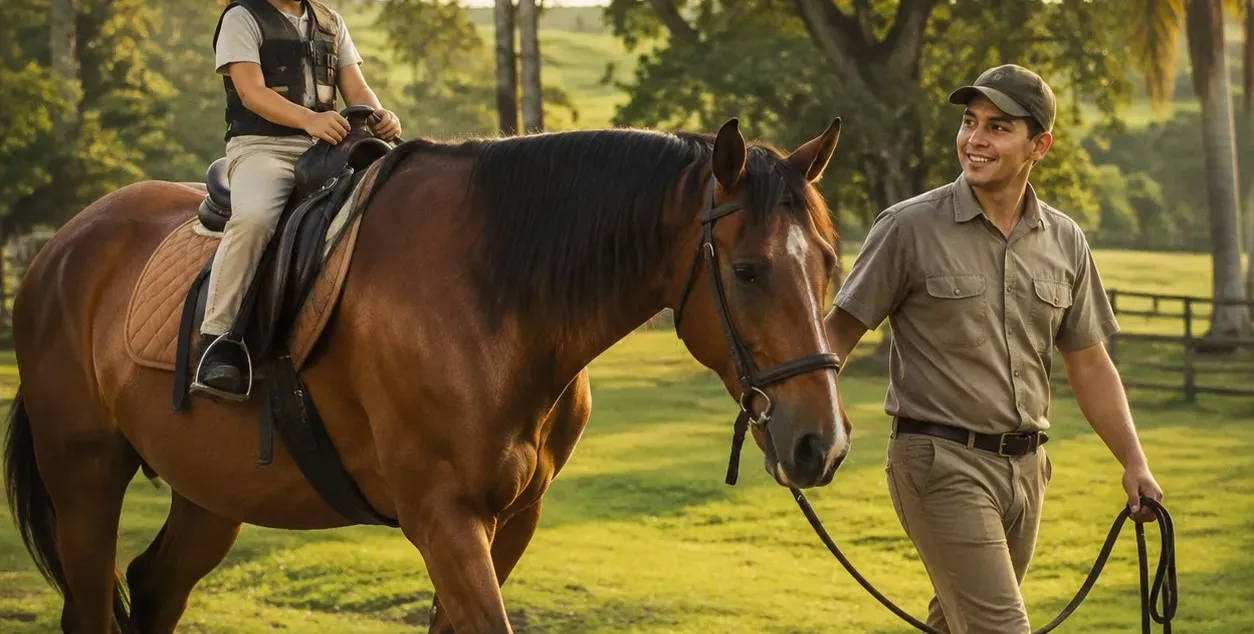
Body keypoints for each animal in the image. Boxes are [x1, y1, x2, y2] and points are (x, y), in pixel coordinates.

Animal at [4, 116, 851, 633]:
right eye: (746, 271)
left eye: (828, 264)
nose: (824, 443)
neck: (497, 295)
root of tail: (62, 247)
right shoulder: (442, 518)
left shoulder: (512, 521)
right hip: (84, 477)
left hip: (211, 492)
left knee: (153, 588)